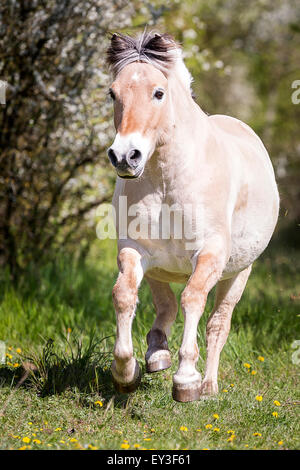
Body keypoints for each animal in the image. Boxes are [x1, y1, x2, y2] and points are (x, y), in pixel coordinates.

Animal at [105, 31, 278, 402]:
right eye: (113, 93)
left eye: (158, 93)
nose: (125, 156)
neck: (168, 181)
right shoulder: (134, 249)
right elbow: (125, 294)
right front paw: (126, 371)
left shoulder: (210, 254)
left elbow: (193, 299)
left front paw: (186, 380)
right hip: (159, 267)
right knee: (165, 306)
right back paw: (157, 354)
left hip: (238, 274)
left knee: (217, 324)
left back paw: (208, 386)